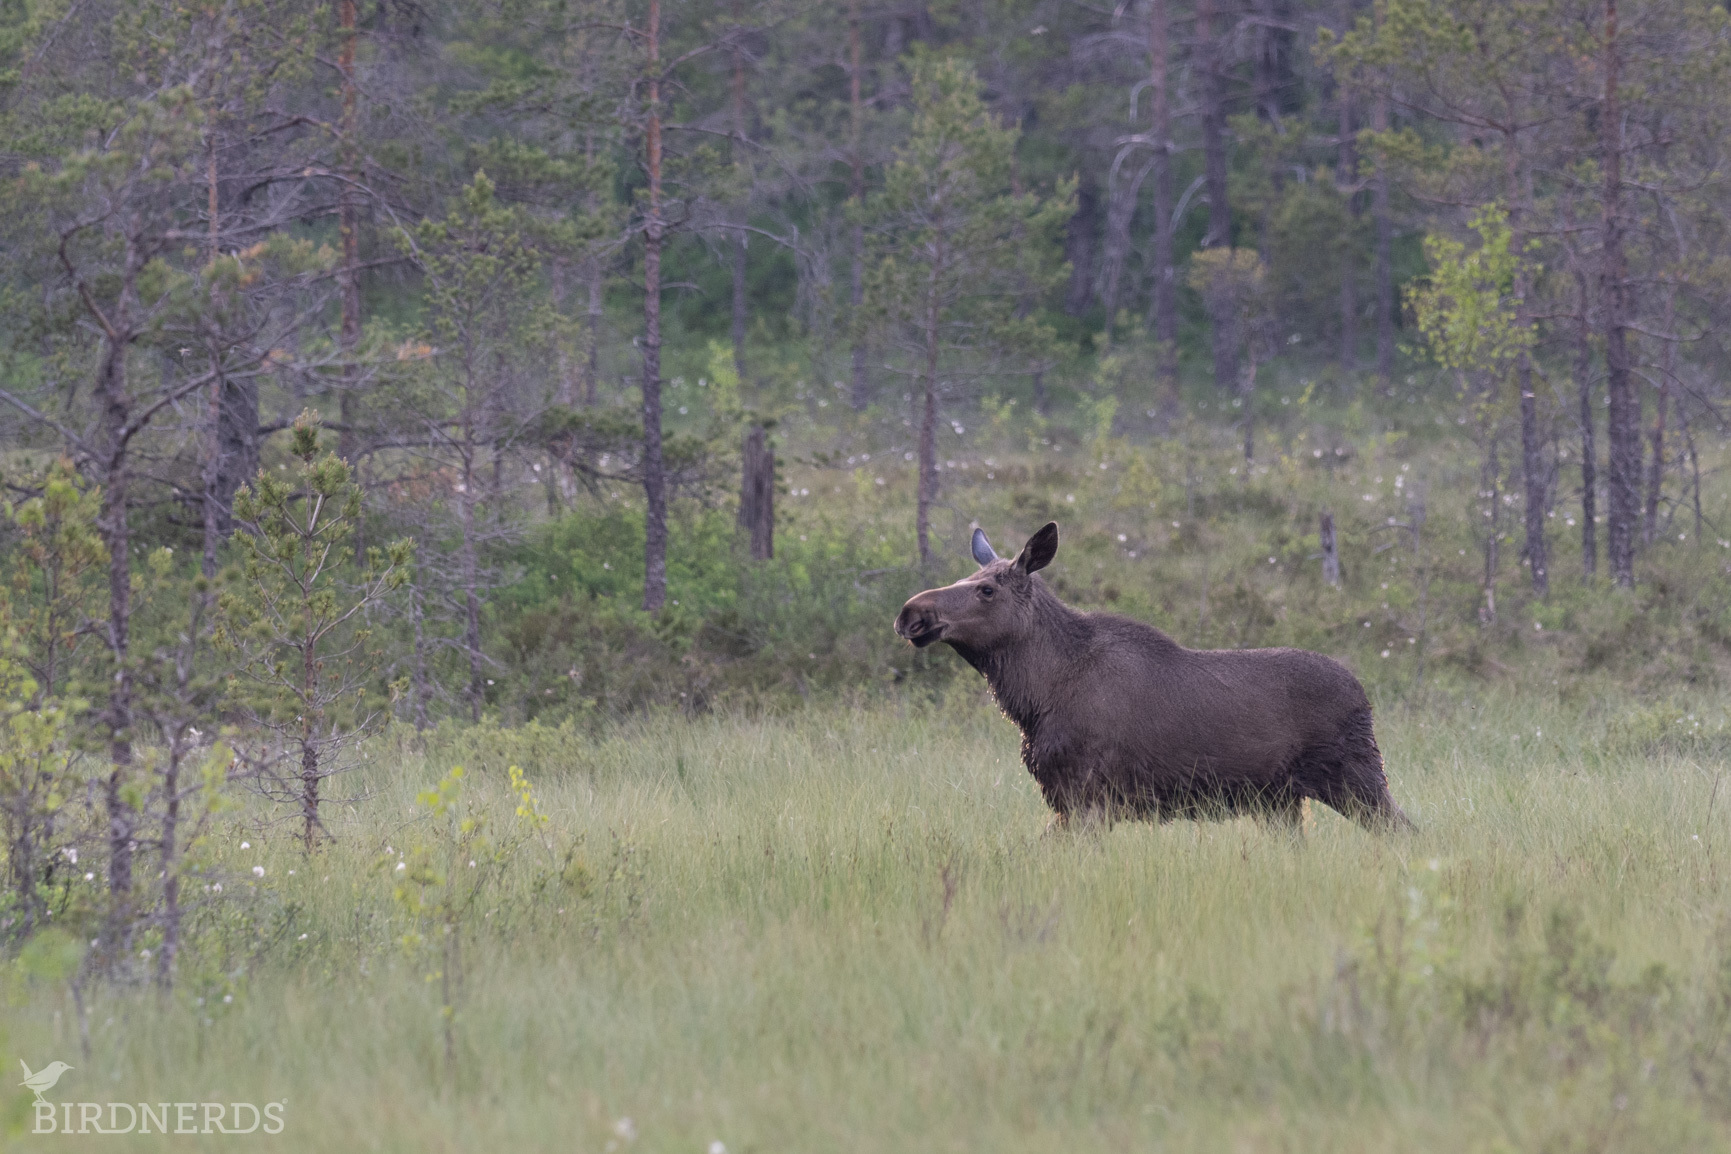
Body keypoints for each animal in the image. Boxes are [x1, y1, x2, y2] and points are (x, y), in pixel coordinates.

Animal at [894, 522, 1411, 831]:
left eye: (985, 589)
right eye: (965, 579)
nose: (910, 613)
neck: (1034, 699)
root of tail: (1365, 699)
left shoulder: (1088, 799)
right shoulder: (1069, 800)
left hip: (1355, 777)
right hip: (1281, 802)